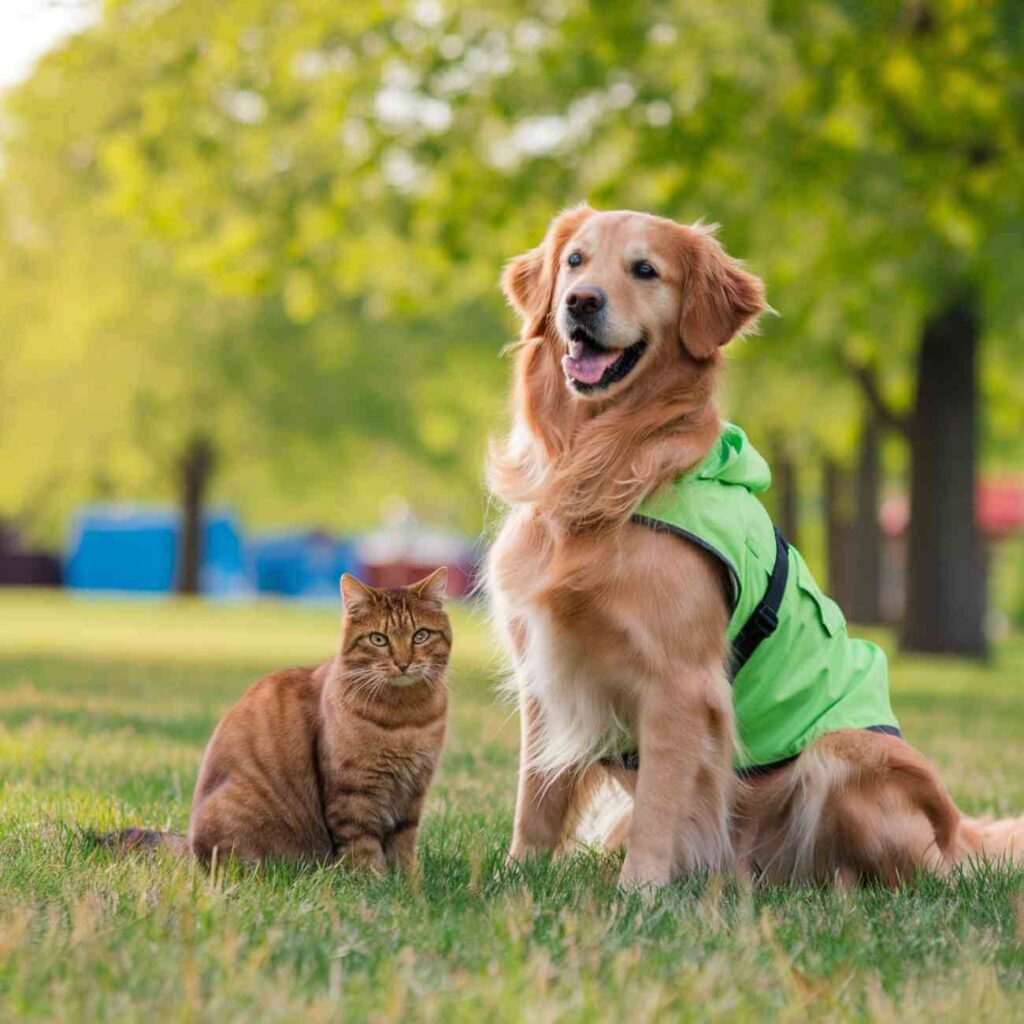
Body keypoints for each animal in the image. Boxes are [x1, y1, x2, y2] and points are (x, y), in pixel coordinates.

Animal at [108, 573, 452, 868]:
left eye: (420, 635)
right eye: (379, 639)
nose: (403, 663)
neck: (406, 718)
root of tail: (189, 843)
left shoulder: (413, 794)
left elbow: (404, 850)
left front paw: (410, 888)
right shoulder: (354, 796)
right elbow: (364, 851)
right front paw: (376, 884)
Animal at [485, 205, 1024, 888]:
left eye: (645, 270)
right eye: (575, 261)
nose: (580, 301)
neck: (604, 466)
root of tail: (957, 832)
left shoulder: (680, 683)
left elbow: (661, 799)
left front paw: (639, 891)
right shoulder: (546, 671)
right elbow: (535, 796)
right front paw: (515, 876)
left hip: (846, 752)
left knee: (908, 873)